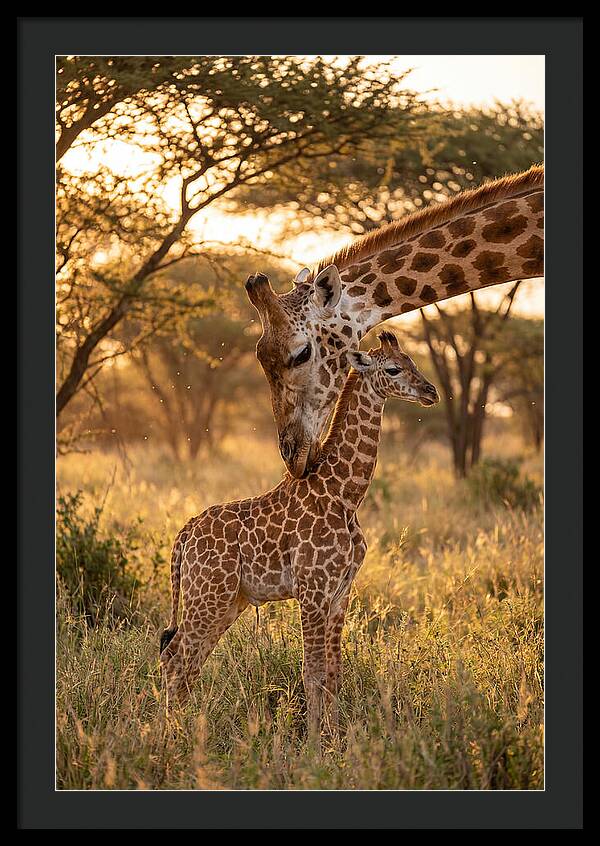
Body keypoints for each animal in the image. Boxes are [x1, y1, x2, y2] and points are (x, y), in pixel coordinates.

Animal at [160, 331, 439, 739]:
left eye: (413, 362)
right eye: (393, 368)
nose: (430, 392)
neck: (344, 493)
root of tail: (184, 536)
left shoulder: (340, 593)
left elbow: (334, 673)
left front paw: (335, 738)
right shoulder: (312, 590)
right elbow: (312, 672)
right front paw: (313, 743)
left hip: (227, 600)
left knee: (188, 659)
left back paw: (184, 730)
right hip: (207, 595)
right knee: (175, 656)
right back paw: (168, 737)